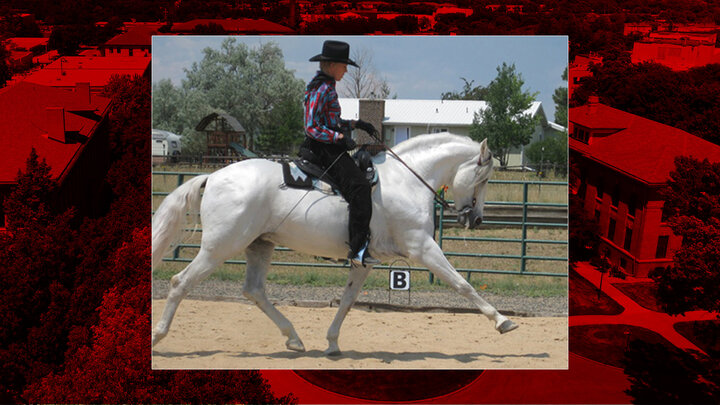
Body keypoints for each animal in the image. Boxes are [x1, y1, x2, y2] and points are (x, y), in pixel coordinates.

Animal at [153, 132, 516, 354]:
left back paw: (294, 338)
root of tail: (213, 177)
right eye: (484, 178)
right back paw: (158, 334)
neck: (406, 182)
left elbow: (347, 300)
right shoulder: (424, 248)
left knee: (254, 290)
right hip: (220, 247)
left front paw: (332, 343)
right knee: (180, 282)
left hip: (259, 245)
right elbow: (462, 284)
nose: (476, 219)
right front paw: (502, 321)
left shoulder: (365, 260)